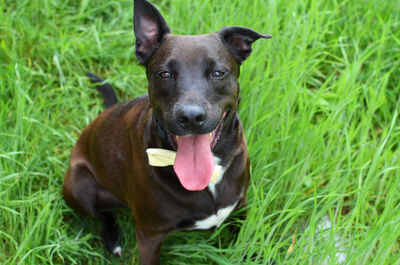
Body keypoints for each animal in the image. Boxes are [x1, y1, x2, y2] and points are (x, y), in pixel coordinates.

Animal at [62, 0, 270, 262]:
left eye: (218, 73)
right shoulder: (149, 236)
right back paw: (112, 238)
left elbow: (245, 243)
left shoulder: (240, 205)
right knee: (100, 211)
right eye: (165, 74)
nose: (190, 117)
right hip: (80, 185)